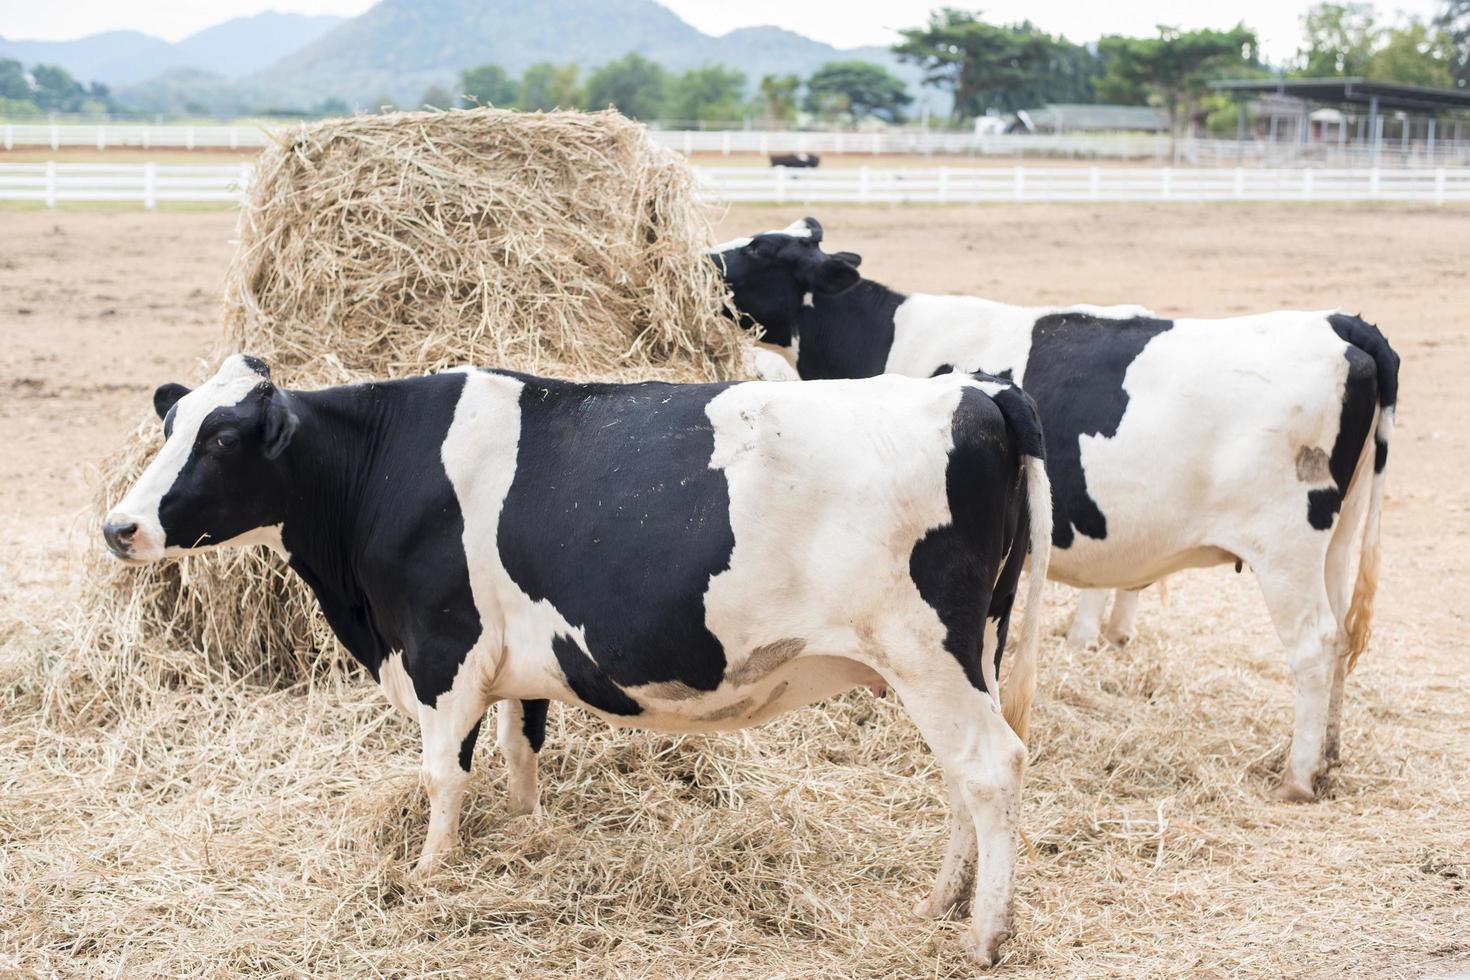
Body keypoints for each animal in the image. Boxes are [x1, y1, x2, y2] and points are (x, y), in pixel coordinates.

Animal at [106, 354, 1058, 963]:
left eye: (222, 439)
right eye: (172, 423)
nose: (120, 526)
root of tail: (979, 389)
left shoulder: (442, 649)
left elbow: (443, 773)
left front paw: (429, 873)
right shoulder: (516, 664)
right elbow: (519, 752)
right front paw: (526, 840)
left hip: (927, 650)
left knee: (992, 766)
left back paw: (983, 934)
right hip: (965, 651)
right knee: (962, 778)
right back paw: (940, 902)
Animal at [711, 220, 1399, 805]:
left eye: (761, 250)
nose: (700, 259)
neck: (885, 334)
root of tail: (1340, 324)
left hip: (1285, 545)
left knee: (1314, 643)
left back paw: (1298, 777)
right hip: (1336, 538)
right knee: (1341, 638)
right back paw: (1330, 756)